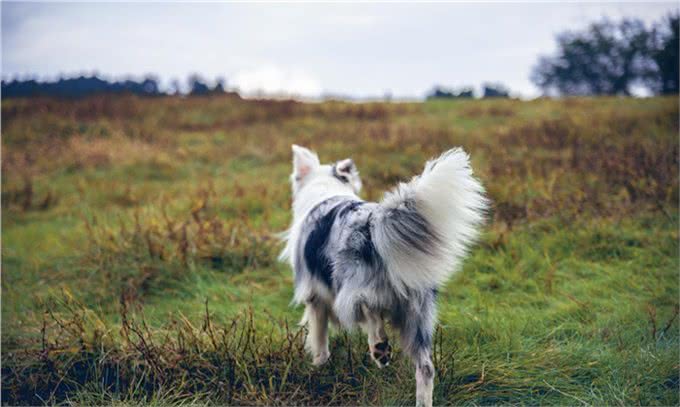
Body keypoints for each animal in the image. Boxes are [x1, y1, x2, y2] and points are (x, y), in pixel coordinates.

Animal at [278, 145, 486, 406]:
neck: (326, 187)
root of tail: (374, 222)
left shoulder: (315, 298)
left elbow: (319, 339)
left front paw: (318, 366)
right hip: (417, 315)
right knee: (426, 368)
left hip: (353, 288)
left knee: (369, 309)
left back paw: (379, 348)